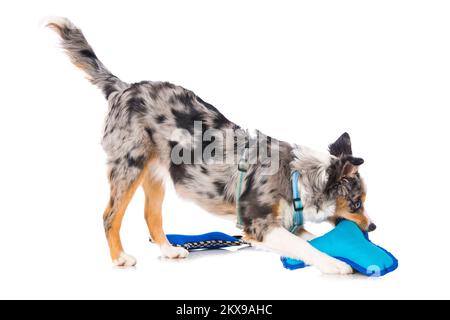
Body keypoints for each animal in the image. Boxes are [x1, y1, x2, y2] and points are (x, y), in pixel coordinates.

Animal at [47, 17, 374, 274]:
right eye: (356, 204)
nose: (373, 228)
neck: (298, 177)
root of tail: (123, 88)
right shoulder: (260, 226)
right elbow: (305, 247)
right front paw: (335, 264)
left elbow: (311, 240)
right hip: (129, 167)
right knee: (110, 215)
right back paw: (119, 259)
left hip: (156, 175)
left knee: (152, 216)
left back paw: (169, 250)